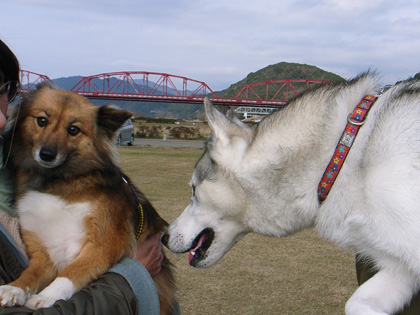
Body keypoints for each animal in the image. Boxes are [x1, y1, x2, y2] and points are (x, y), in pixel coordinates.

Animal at [0, 84, 176, 314]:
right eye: (42, 120)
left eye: (73, 130)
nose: (46, 154)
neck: (57, 184)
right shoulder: (42, 252)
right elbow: (30, 274)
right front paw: (15, 288)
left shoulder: (104, 243)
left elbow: (72, 272)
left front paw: (46, 296)